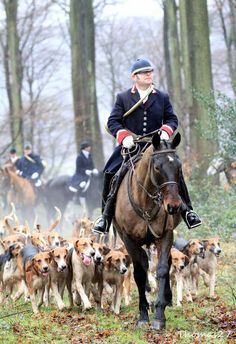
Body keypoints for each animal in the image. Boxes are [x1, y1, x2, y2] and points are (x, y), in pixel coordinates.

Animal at [112, 132, 183, 330]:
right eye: (157, 167)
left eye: (179, 166)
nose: (173, 206)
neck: (144, 200)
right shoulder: (129, 239)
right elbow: (138, 273)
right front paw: (143, 315)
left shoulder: (165, 235)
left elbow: (162, 269)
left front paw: (159, 315)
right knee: (143, 264)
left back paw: (166, 299)